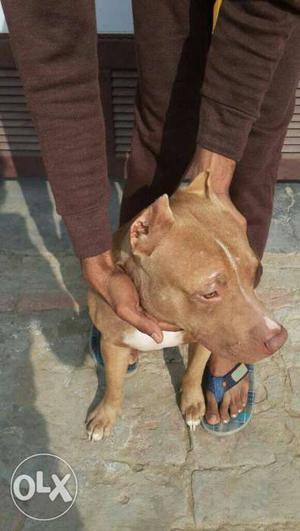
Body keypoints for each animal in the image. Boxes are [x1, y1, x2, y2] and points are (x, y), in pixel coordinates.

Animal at [85, 172, 288, 442]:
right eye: (209, 293)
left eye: (257, 272)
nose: (278, 339)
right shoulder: (113, 342)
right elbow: (113, 384)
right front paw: (105, 416)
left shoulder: (205, 336)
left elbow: (193, 371)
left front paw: (192, 404)